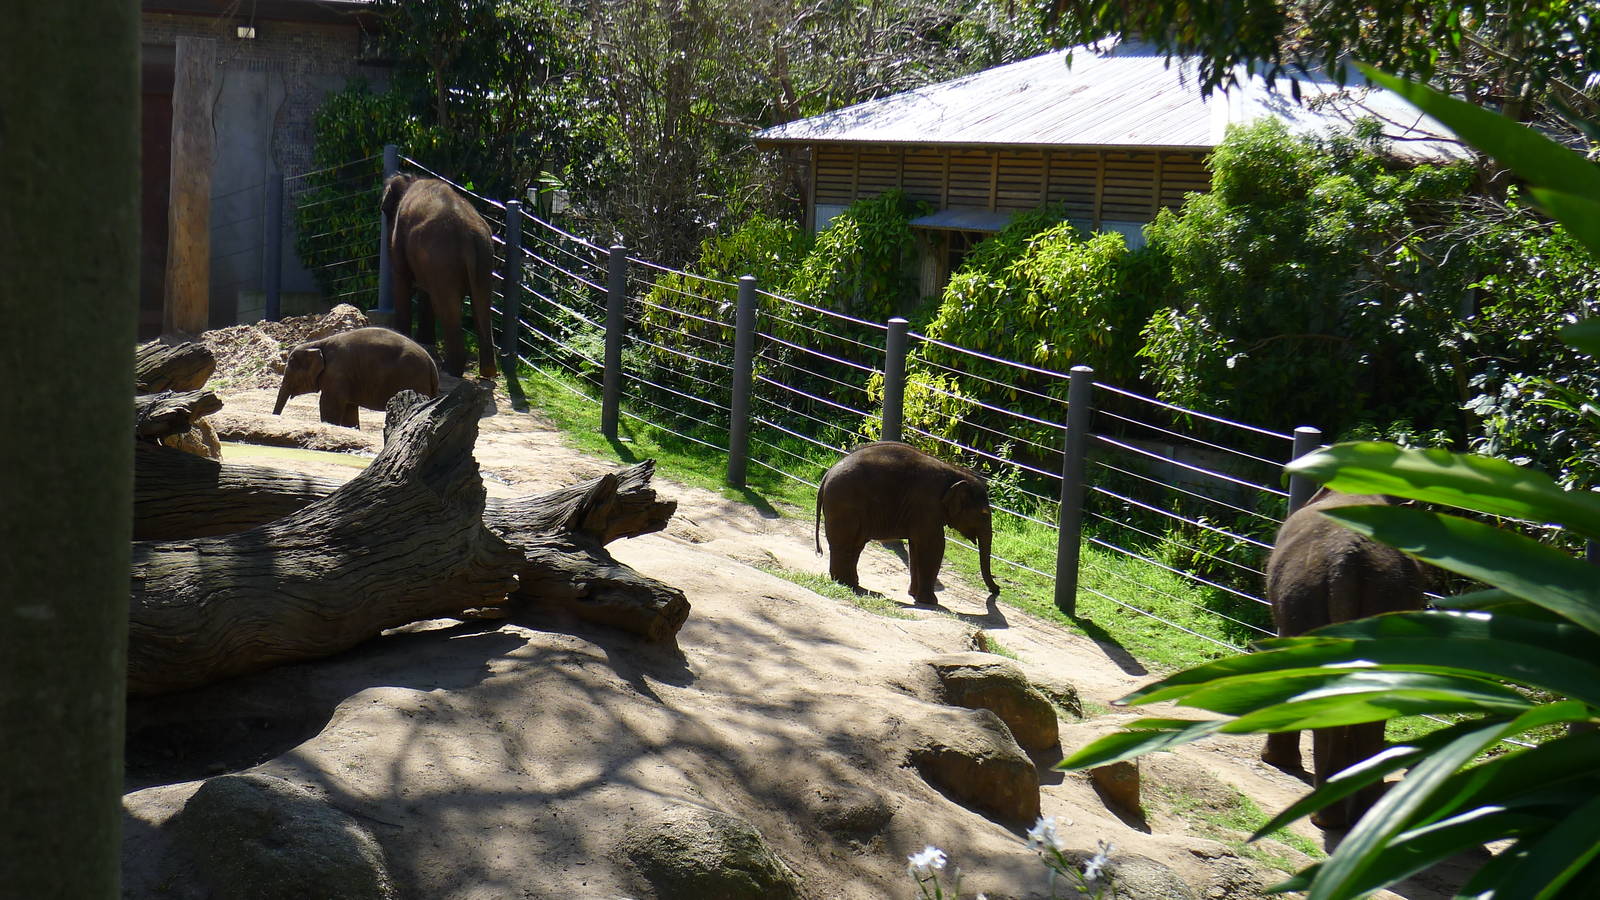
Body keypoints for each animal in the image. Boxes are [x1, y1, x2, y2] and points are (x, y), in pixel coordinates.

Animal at [273, 327, 440, 428]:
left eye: (291, 371)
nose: (276, 418)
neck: (318, 343)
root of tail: (433, 366)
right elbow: (349, 410)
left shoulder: (337, 373)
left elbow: (329, 405)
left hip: (413, 379)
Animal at [381, 173, 498, 380]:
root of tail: (468, 234)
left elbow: (402, 278)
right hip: (484, 258)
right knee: (481, 303)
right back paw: (487, 371)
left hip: (442, 259)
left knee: (445, 304)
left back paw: (450, 369)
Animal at [815, 441, 1001, 605]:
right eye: (984, 514)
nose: (997, 590)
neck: (954, 473)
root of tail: (828, 473)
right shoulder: (927, 505)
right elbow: (934, 546)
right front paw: (930, 602)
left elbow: (916, 546)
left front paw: (913, 595)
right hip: (844, 505)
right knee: (846, 543)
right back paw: (844, 583)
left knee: (856, 544)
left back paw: (851, 583)